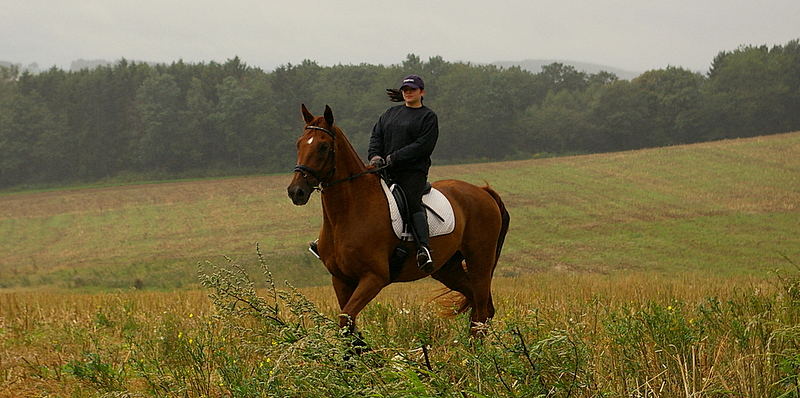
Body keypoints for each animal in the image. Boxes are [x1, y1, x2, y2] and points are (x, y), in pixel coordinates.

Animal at [290, 103, 512, 336]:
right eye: (299, 144)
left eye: (323, 147)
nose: (296, 191)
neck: (347, 214)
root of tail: (483, 191)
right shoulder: (341, 279)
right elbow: (348, 325)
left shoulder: (374, 278)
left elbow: (346, 319)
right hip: (447, 269)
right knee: (480, 307)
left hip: (480, 262)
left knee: (482, 310)